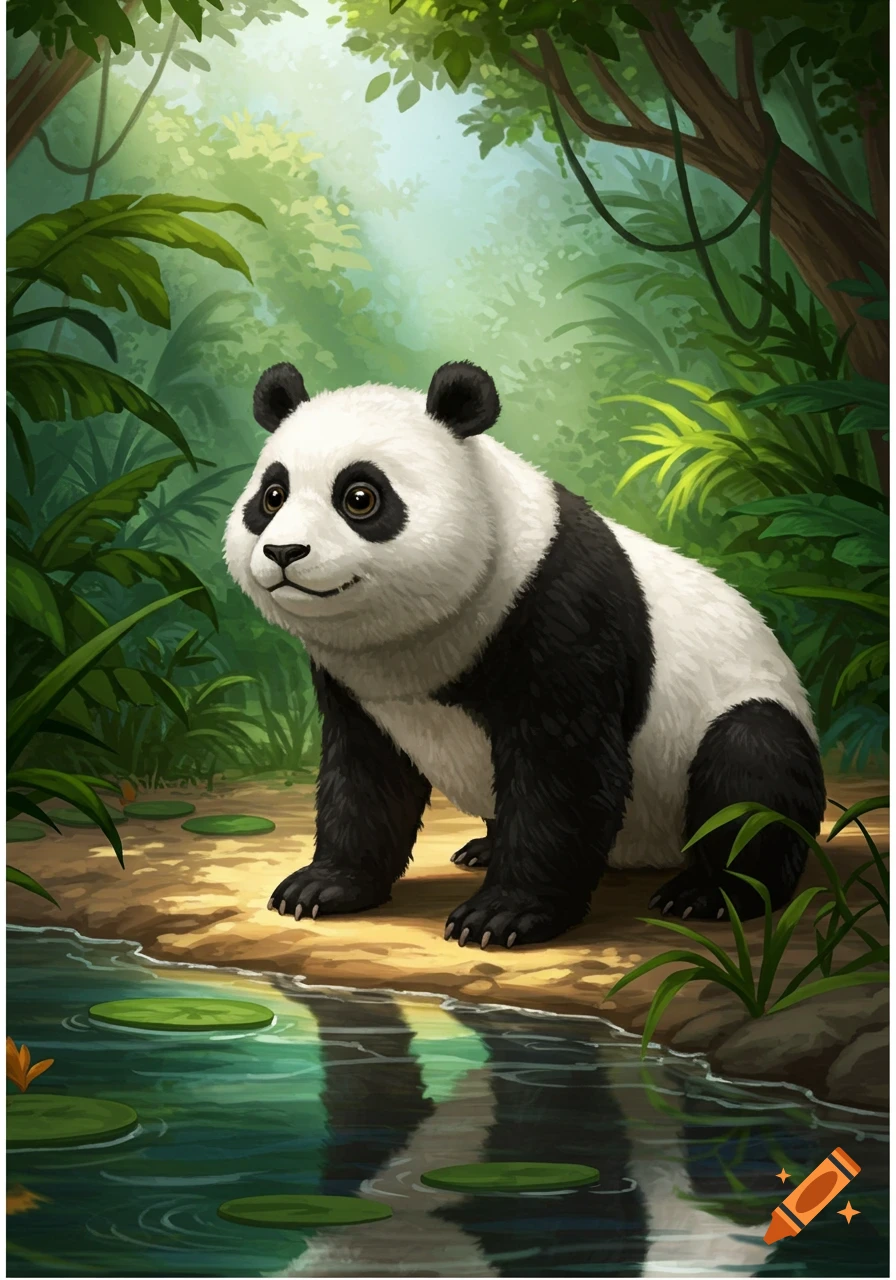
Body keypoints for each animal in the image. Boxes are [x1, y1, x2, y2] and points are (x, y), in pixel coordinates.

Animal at [224, 359, 826, 950]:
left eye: (359, 498)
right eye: (272, 496)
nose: (284, 552)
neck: (412, 640)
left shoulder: (559, 610)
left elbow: (563, 770)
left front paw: (501, 915)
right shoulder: (359, 686)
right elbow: (364, 777)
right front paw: (322, 887)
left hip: (736, 713)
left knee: (751, 768)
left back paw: (709, 892)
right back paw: (482, 849)